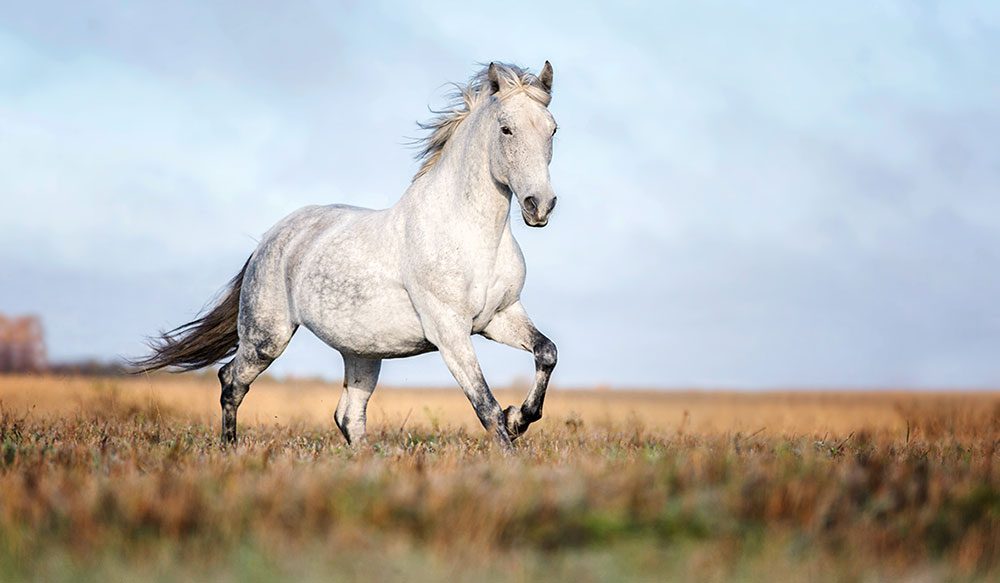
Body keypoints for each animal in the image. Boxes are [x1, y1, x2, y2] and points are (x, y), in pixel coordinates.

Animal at [135, 61, 564, 452]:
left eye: (552, 129)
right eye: (506, 129)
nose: (539, 205)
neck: (473, 237)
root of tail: (269, 240)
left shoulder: (499, 317)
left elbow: (547, 353)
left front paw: (520, 417)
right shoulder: (449, 331)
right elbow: (485, 405)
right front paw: (509, 448)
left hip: (361, 353)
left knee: (348, 416)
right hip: (266, 337)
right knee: (231, 381)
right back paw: (229, 449)